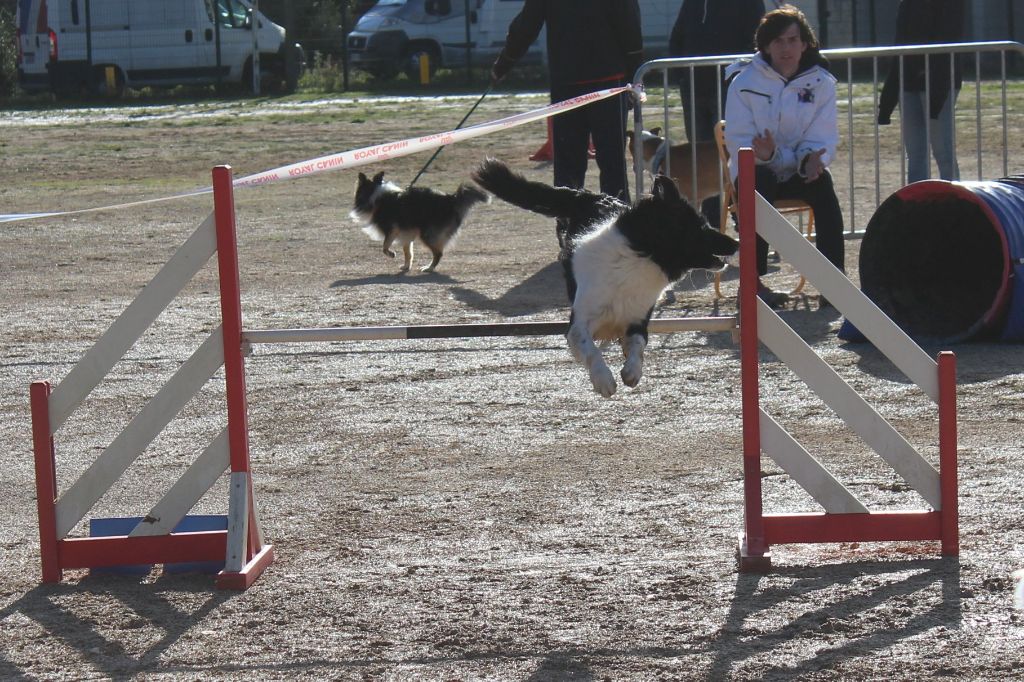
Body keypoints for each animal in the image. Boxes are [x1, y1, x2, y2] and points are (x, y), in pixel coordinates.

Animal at [350, 171, 489, 272]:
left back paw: (429, 268)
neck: (374, 195)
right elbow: (408, 253)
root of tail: (451, 199)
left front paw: (392, 254)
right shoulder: (406, 234)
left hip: (427, 235)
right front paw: (406, 267)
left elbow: (384, 247)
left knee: (438, 253)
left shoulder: (391, 230)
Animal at [471, 156, 737, 395]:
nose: (736, 242)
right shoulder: (578, 323)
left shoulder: (638, 319)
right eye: (700, 228)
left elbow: (638, 345)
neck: (638, 257)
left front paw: (632, 372)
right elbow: (590, 348)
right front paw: (604, 380)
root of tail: (585, 195)